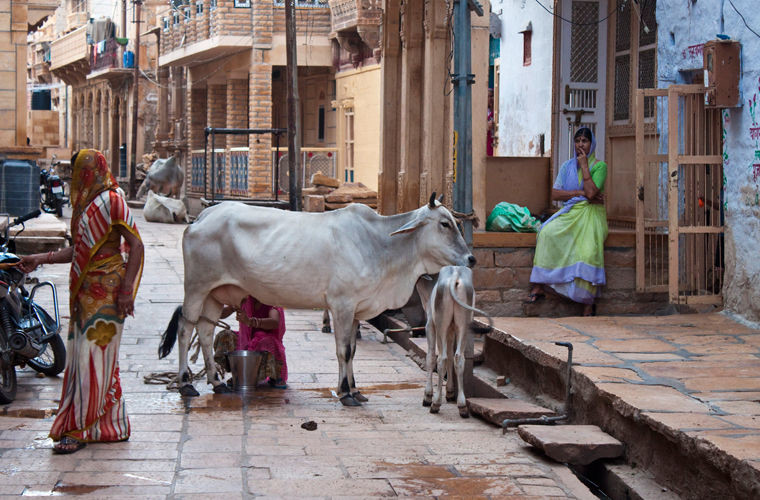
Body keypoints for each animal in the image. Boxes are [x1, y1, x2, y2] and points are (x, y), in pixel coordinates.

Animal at [159, 193, 476, 404]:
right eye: (444, 224)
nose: (471, 258)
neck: (380, 244)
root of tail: (202, 217)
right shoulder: (342, 305)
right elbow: (343, 351)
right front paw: (345, 393)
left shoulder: (356, 310)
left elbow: (353, 350)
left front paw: (356, 389)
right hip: (197, 288)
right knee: (186, 329)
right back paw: (186, 383)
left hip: (215, 294)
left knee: (205, 330)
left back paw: (216, 382)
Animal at [418, 266, 490, 418]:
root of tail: (455, 275)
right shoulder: (451, 330)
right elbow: (451, 357)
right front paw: (450, 392)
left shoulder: (430, 325)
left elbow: (431, 357)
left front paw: (428, 396)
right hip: (464, 324)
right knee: (458, 357)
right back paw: (462, 405)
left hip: (441, 324)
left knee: (441, 358)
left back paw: (435, 403)